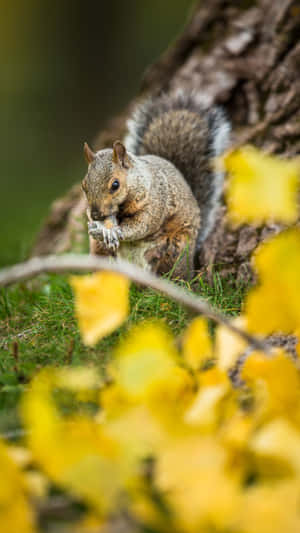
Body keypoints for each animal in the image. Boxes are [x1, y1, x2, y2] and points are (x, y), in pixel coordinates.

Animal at [81, 90, 231, 278]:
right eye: (84, 186)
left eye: (115, 185)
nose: (95, 215)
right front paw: (98, 227)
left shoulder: (156, 202)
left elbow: (143, 224)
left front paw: (117, 231)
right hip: (101, 254)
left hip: (175, 249)